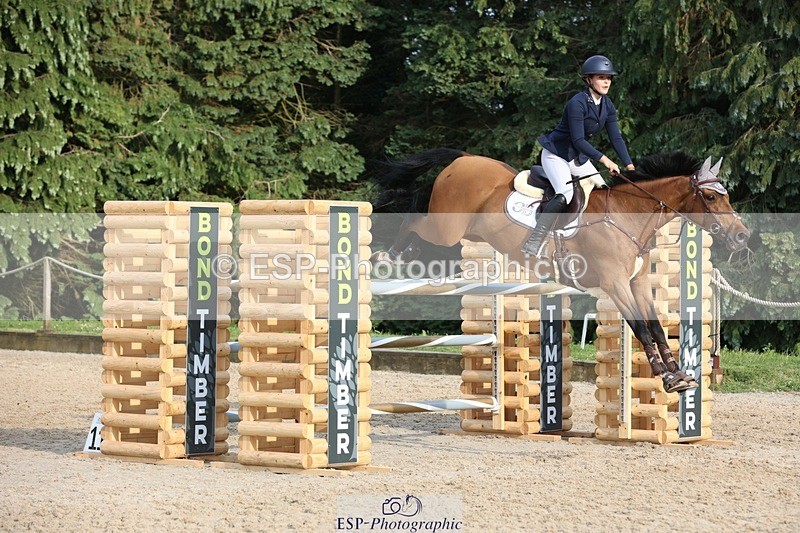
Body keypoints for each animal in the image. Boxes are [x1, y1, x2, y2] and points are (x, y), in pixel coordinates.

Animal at [372, 148, 751, 393]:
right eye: (712, 198)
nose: (741, 236)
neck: (628, 214)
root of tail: (462, 160)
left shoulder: (638, 283)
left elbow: (656, 326)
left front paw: (678, 374)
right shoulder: (615, 284)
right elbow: (641, 328)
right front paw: (666, 376)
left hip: (468, 233)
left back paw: (402, 253)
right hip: (446, 228)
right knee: (411, 219)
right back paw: (388, 255)